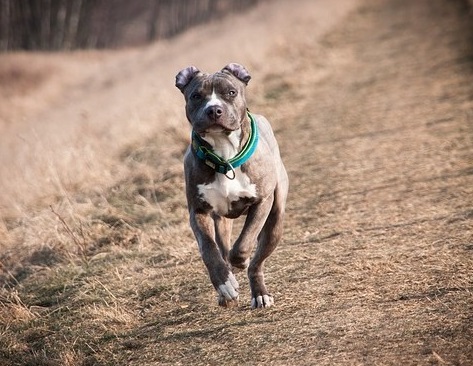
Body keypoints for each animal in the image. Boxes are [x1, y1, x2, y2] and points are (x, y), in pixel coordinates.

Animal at [174, 63, 288, 308]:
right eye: (196, 96)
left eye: (231, 92)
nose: (214, 110)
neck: (224, 155)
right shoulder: (198, 212)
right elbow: (209, 250)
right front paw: (225, 284)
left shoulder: (262, 202)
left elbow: (244, 242)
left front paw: (240, 262)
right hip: (222, 221)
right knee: (223, 248)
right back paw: (226, 289)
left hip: (275, 220)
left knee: (257, 262)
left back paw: (259, 293)